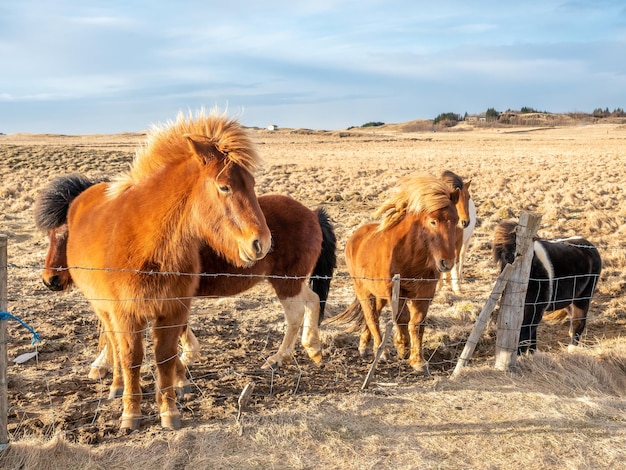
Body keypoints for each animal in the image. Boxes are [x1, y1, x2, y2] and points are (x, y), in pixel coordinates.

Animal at [33, 109, 268, 430]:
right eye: (225, 187)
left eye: (253, 185)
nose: (261, 242)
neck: (149, 245)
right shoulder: (126, 313)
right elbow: (131, 357)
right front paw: (131, 413)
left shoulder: (173, 311)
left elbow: (165, 358)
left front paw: (169, 409)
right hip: (103, 309)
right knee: (114, 344)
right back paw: (116, 385)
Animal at [326, 173, 458, 374]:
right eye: (433, 221)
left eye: (457, 221)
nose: (447, 262)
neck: (411, 255)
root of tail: (356, 236)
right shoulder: (394, 290)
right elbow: (402, 318)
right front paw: (402, 346)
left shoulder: (425, 292)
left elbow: (417, 323)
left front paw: (418, 361)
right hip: (363, 290)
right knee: (371, 317)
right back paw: (381, 351)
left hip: (378, 294)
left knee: (373, 315)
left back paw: (365, 346)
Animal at [492, 222, 600, 354]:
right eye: (503, 256)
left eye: (517, 254)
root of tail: (589, 244)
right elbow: (531, 336)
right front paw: (531, 355)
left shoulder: (536, 308)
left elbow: (525, 334)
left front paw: (520, 355)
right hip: (570, 299)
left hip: (584, 297)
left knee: (578, 322)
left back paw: (572, 349)